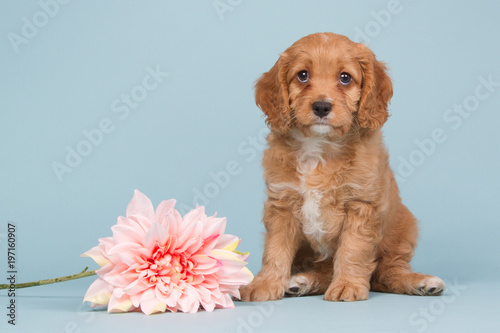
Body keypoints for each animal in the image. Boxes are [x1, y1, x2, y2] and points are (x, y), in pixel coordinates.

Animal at [240, 33, 448, 300]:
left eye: (345, 78)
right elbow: (275, 250)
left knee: (387, 272)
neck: (320, 147)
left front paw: (347, 285)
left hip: (403, 228)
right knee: (330, 270)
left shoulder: (361, 205)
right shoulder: (282, 204)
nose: (321, 106)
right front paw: (265, 284)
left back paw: (422, 282)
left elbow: (352, 250)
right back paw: (302, 282)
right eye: (302, 75)